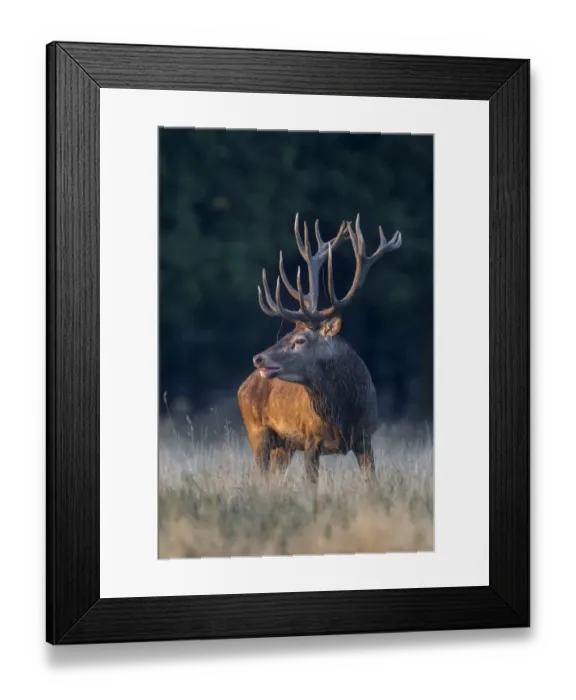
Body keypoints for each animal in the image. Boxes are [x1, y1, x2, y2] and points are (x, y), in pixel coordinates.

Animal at [237, 213, 402, 483]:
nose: (258, 358)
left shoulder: (366, 437)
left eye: (300, 340)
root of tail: (243, 386)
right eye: (286, 333)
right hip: (256, 431)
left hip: (284, 446)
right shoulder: (310, 438)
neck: (343, 414)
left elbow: (371, 481)